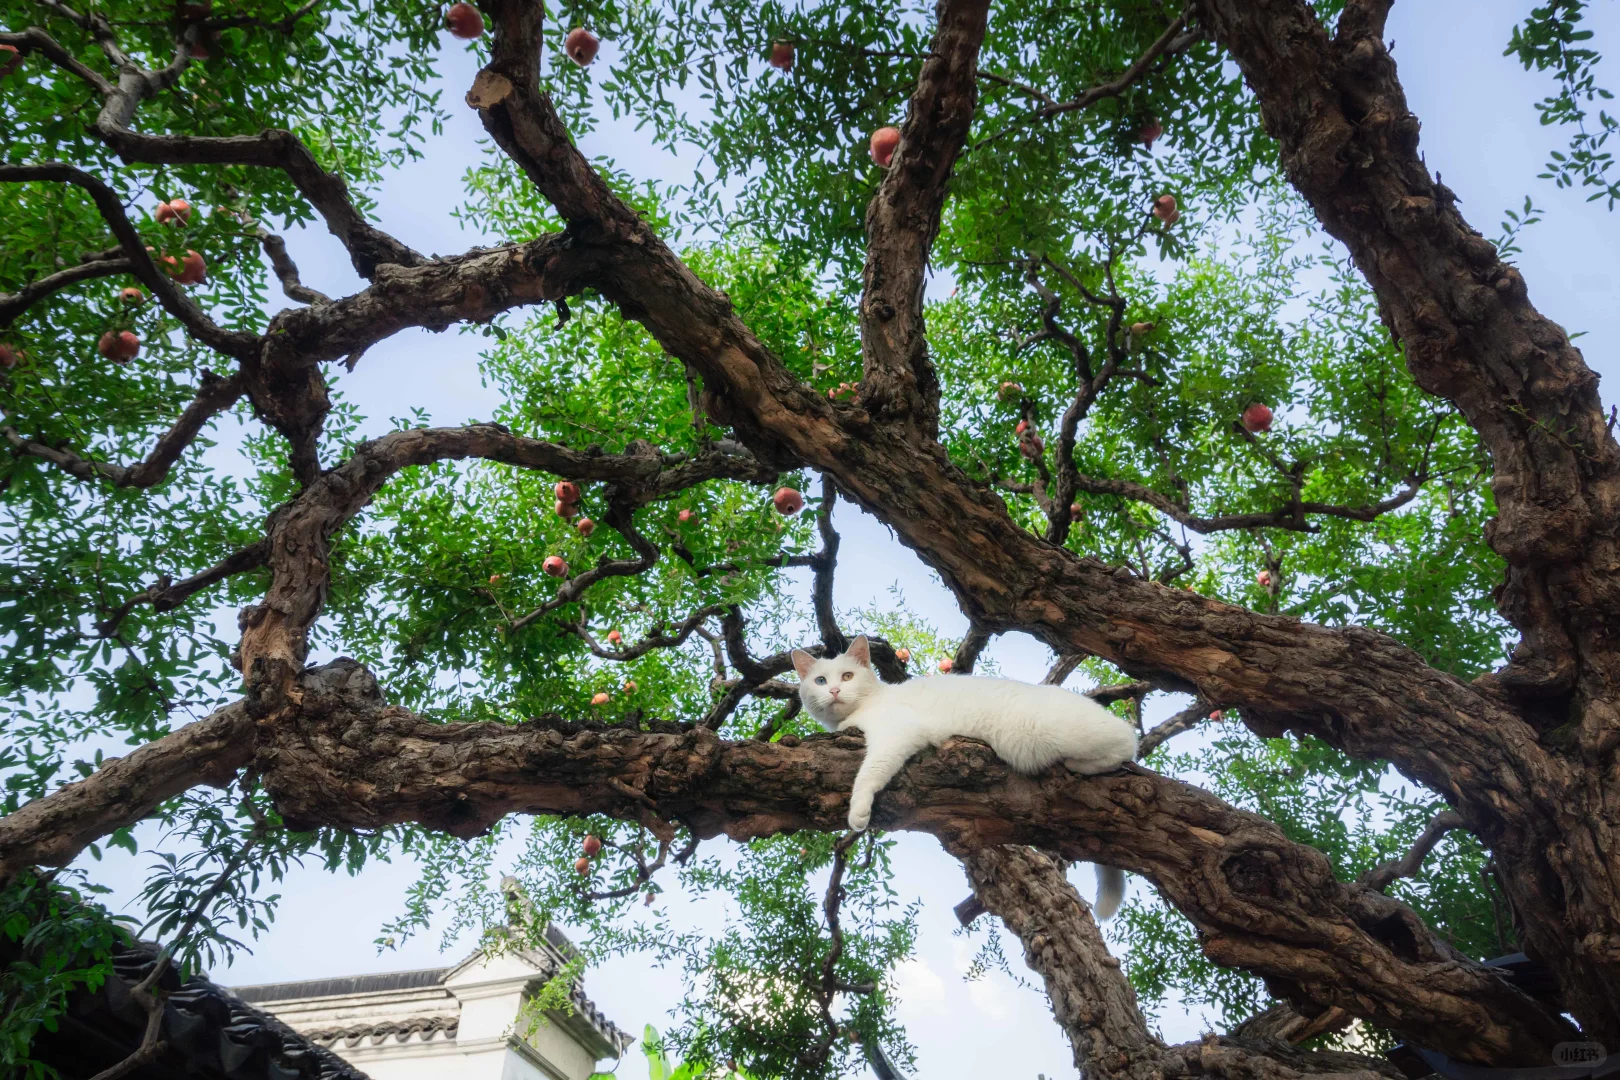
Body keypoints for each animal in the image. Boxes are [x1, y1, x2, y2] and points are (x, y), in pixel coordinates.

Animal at [790, 634, 1134, 919]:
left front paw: (858, 811)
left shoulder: (898, 731)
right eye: (820, 680)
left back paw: (1084, 762)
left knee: (1127, 740)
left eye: (847, 676)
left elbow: (869, 772)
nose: (834, 690)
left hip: (1058, 732)